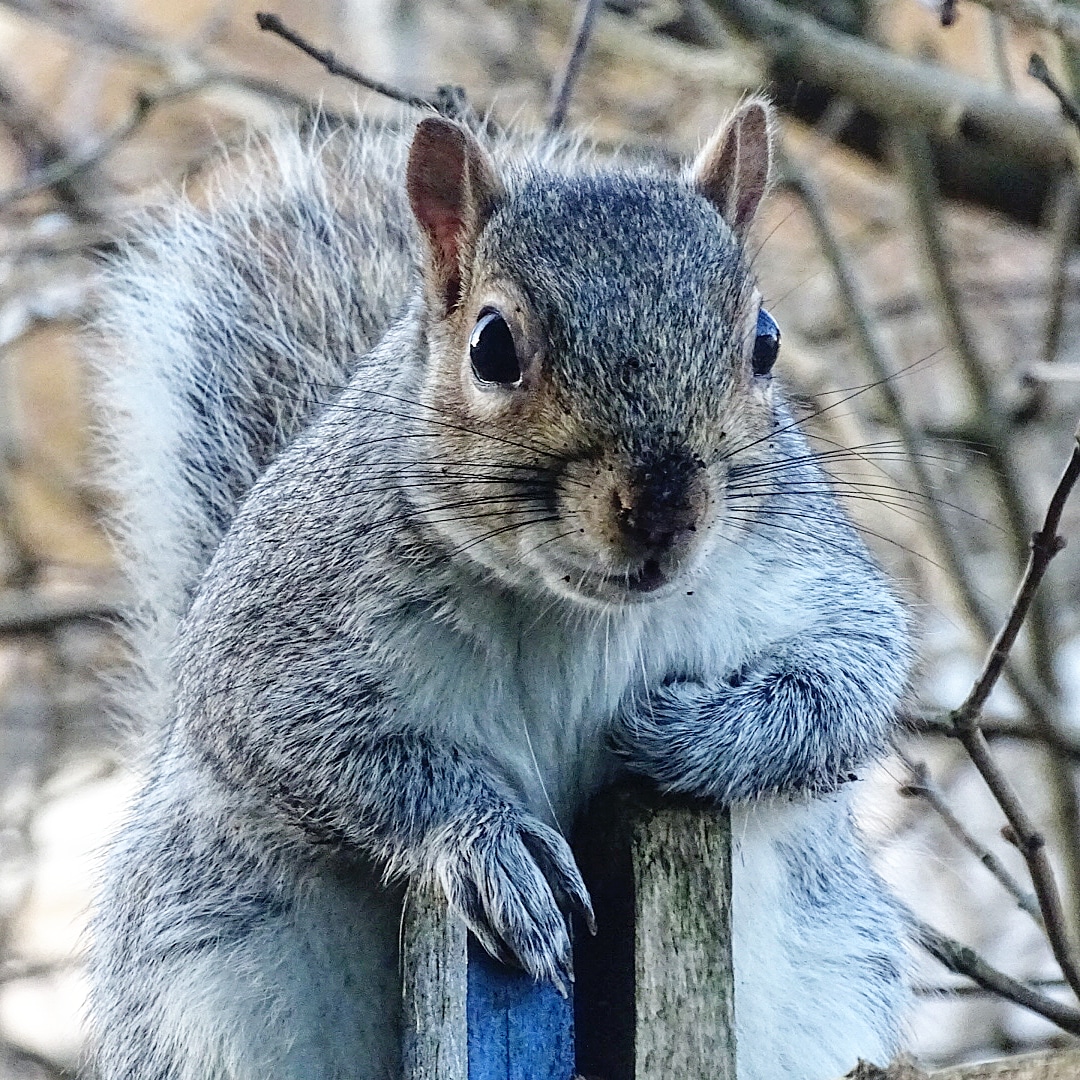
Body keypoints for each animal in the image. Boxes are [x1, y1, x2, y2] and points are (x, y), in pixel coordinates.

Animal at [86, 99, 913, 1080]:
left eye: (765, 343)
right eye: (491, 347)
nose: (664, 505)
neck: (578, 613)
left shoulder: (807, 576)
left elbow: (848, 686)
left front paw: (695, 734)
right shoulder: (278, 621)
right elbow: (312, 740)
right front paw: (489, 842)